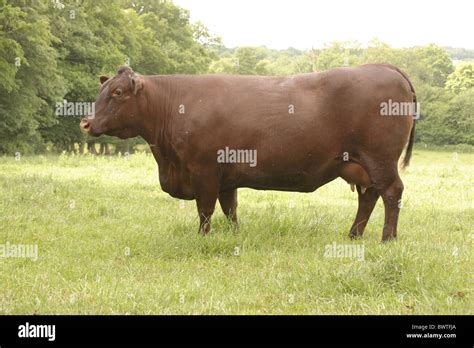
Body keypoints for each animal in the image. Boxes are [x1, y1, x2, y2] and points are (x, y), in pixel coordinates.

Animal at [80, 64, 414, 241]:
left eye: (117, 92)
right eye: (102, 90)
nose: (86, 122)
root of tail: (384, 66)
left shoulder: (204, 172)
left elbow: (205, 209)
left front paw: (203, 238)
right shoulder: (227, 177)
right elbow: (230, 209)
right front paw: (234, 235)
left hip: (380, 160)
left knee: (391, 192)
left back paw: (388, 238)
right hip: (361, 165)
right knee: (368, 196)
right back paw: (353, 235)